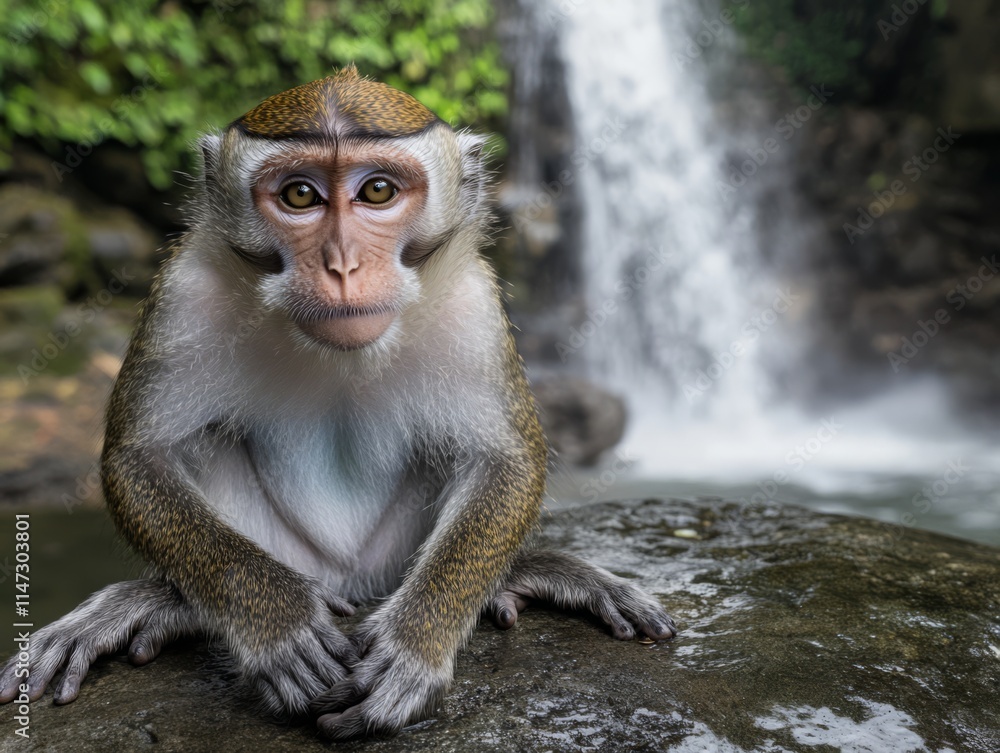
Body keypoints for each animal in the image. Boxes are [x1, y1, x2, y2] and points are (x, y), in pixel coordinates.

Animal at [0, 67, 676, 740]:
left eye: (377, 190)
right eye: (300, 196)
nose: (343, 265)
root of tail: (352, 583)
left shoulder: (474, 304)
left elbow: (503, 461)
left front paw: (415, 644)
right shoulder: (184, 292)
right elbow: (141, 458)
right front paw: (278, 621)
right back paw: (171, 607)